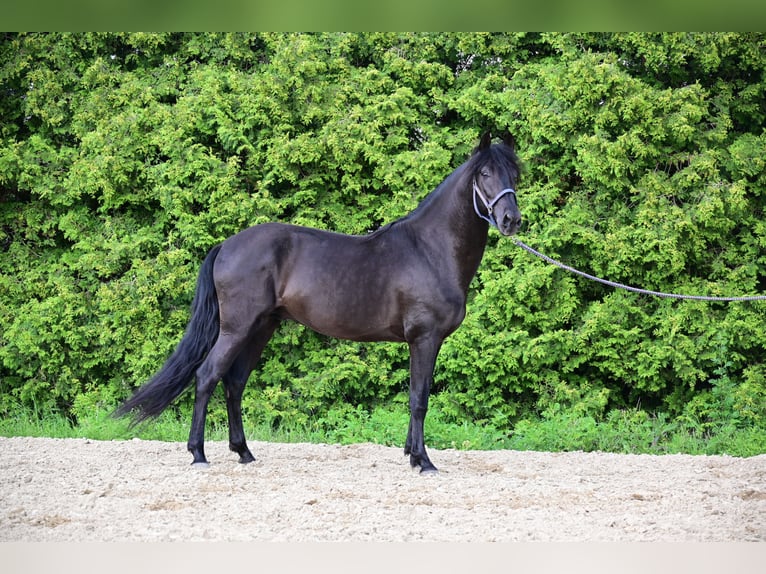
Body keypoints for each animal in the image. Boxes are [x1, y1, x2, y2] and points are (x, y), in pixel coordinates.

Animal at [117, 133, 524, 474]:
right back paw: (199, 454)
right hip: (237, 329)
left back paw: (244, 452)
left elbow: (414, 396)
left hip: (260, 329)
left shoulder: (422, 342)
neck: (429, 250)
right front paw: (423, 461)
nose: (511, 220)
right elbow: (419, 399)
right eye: (485, 173)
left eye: (515, 175)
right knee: (207, 377)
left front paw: (411, 454)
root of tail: (226, 245)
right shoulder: (425, 338)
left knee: (234, 384)